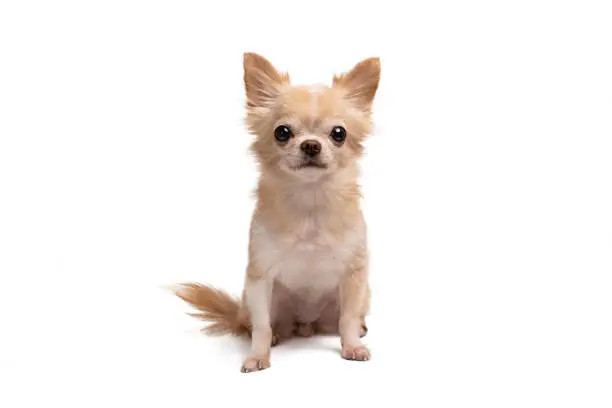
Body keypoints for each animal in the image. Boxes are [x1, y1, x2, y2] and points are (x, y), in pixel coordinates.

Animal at [172, 51, 380, 372]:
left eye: (339, 133)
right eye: (282, 132)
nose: (310, 145)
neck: (309, 200)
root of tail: (307, 325)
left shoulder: (354, 275)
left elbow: (347, 318)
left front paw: (353, 347)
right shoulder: (260, 279)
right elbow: (261, 326)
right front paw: (258, 355)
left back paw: (358, 328)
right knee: (258, 324)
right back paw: (277, 335)